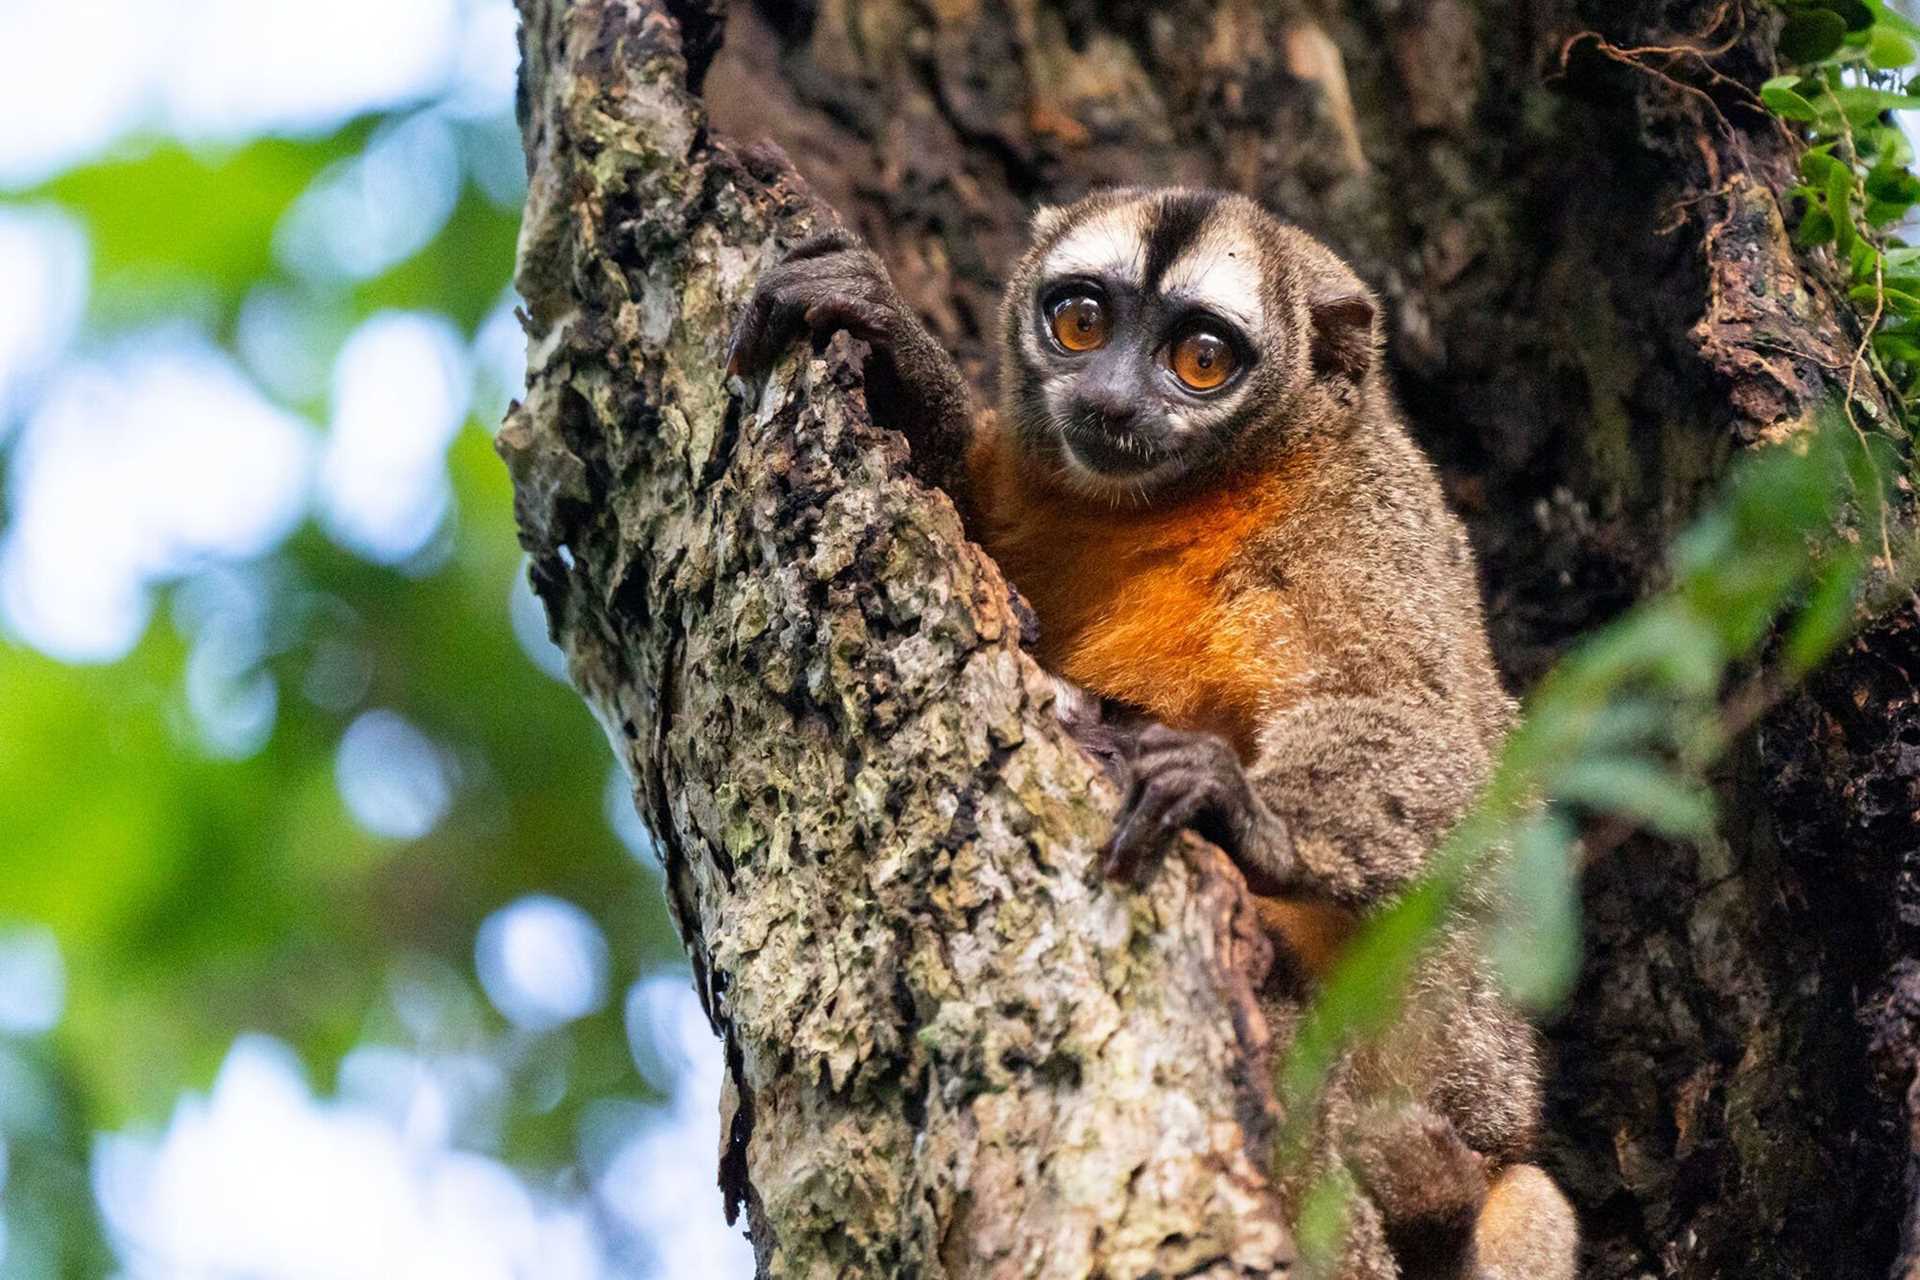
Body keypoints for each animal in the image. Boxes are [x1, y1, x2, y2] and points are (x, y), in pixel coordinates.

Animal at [725, 182, 1582, 1280]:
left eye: (1202, 358)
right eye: (1081, 323)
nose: (1112, 402)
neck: (1182, 500)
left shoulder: (1362, 526)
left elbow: (1441, 748)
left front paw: (1243, 809)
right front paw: (899, 358)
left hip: (1483, 1081)